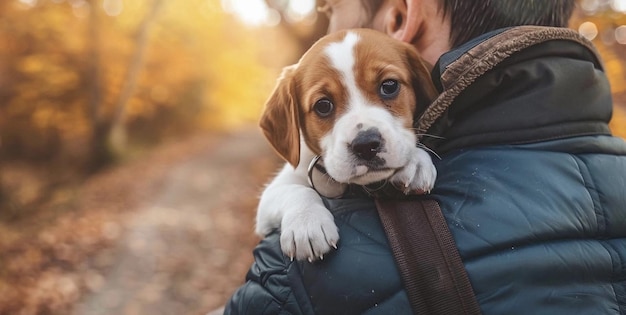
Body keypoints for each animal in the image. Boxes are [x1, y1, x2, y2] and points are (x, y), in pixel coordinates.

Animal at [256, 29, 436, 262]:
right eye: (323, 105)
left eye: (389, 86)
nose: (366, 145)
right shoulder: (272, 196)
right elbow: (295, 190)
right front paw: (306, 223)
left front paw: (415, 162)